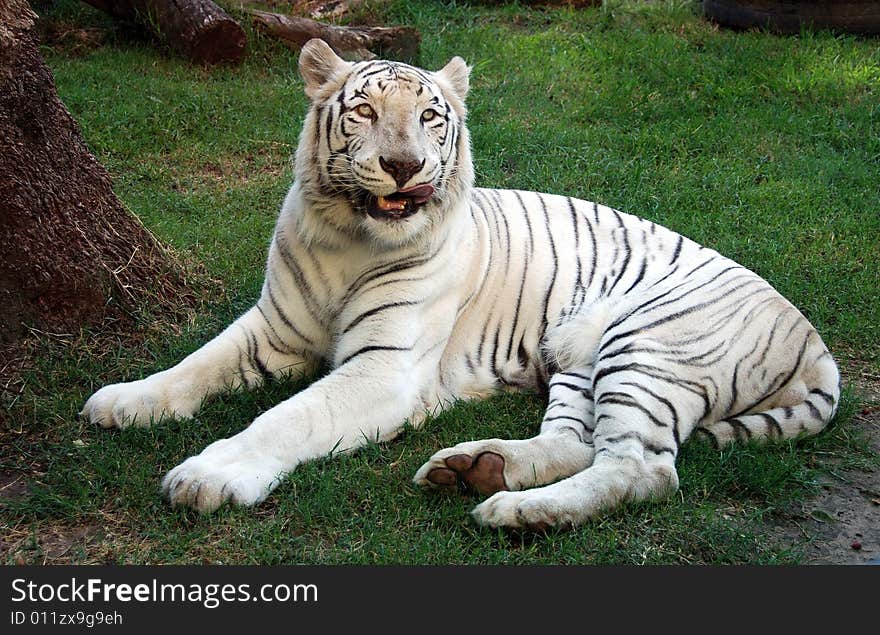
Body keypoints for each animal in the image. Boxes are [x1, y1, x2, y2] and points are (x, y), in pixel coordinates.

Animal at [81, 37, 840, 528]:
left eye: (429, 117)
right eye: (363, 111)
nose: (403, 165)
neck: (348, 240)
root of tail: (813, 339)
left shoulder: (382, 369)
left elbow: (287, 417)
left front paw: (208, 475)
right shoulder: (274, 328)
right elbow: (196, 363)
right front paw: (124, 400)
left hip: (646, 345)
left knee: (642, 468)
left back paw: (514, 510)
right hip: (578, 355)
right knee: (578, 442)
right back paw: (478, 468)